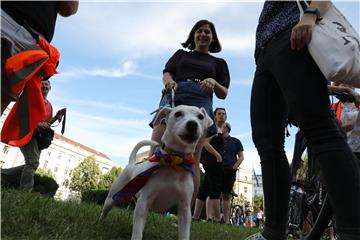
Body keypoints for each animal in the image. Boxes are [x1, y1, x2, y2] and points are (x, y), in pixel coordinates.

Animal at [99, 105, 211, 240]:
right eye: (178, 114)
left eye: (200, 116)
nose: (193, 124)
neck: (173, 161)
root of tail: (131, 164)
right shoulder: (144, 202)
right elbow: (137, 232)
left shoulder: (184, 209)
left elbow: (184, 232)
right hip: (114, 197)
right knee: (105, 210)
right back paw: (100, 222)